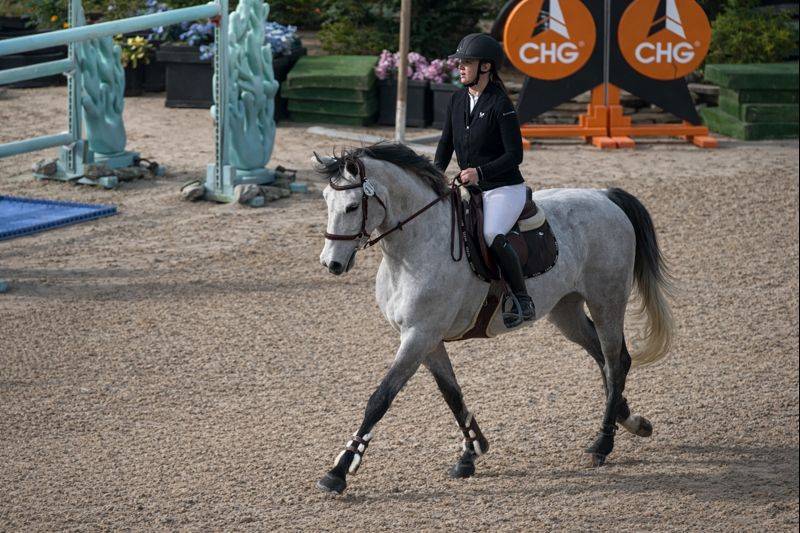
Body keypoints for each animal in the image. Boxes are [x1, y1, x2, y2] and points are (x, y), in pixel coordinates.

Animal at [314, 142, 674, 495]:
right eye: (326, 201)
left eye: (351, 207)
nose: (331, 264)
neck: (413, 249)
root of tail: (604, 196)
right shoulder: (426, 339)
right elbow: (452, 393)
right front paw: (471, 452)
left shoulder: (419, 335)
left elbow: (380, 398)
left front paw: (339, 470)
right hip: (566, 310)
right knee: (604, 359)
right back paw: (632, 421)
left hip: (606, 301)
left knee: (615, 361)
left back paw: (602, 444)